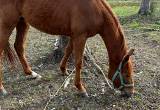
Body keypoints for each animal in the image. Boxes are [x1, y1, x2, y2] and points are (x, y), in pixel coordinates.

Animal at [0, 0, 134, 96]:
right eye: (126, 74)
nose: (130, 93)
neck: (95, 10)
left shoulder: (73, 35)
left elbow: (68, 51)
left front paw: (63, 70)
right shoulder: (80, 36)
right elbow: (79, 62)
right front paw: (80, 88)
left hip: (22, 22)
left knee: (19, 46)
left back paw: (31, 73)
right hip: (7, 24)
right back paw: (2, 89)